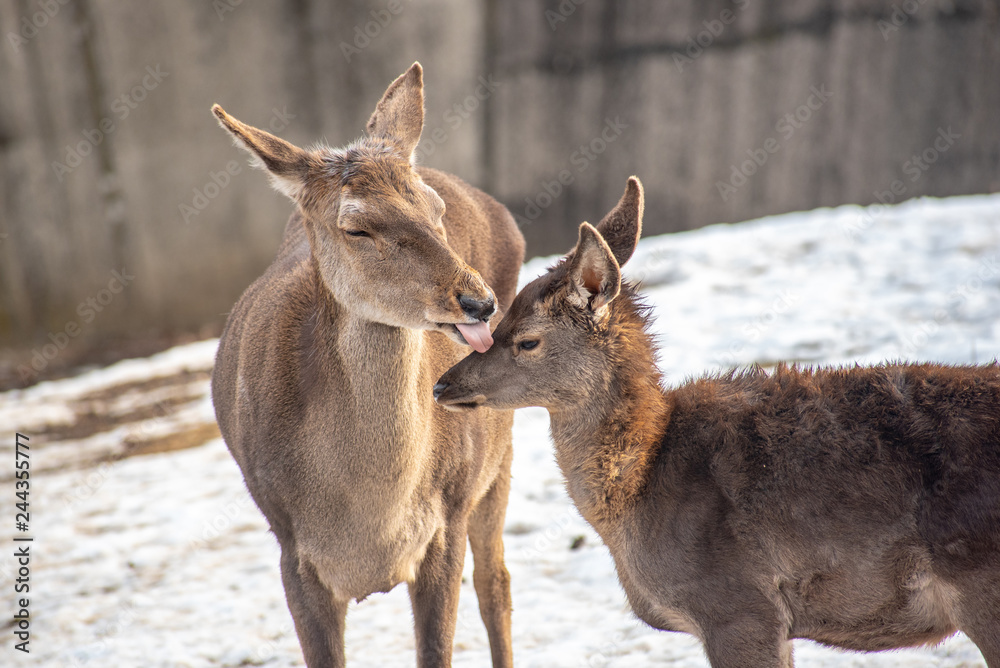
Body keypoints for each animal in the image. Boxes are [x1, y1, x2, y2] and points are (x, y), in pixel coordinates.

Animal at [210, 63, 524, 667]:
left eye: (436, 211)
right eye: (356, 227)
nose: (479, 302)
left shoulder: (446, 519)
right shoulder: (290, 548)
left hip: (497, 456)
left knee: (496, 583)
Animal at [434, 176, 1000, 667]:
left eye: (526, 339)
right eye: (499, 320)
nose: (442, 385)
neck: (643, 489)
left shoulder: (739, 604)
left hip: (982, 580)